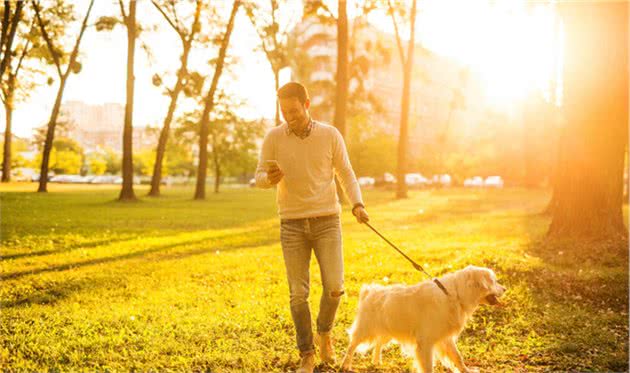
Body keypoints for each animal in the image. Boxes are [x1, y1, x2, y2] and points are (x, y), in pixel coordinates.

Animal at [340, 264, 508, 372]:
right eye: (494, 281)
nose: (505, 289)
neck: (455, 294)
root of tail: (370, 291)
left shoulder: (445, 338)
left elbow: (457, 357)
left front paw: (466, 370)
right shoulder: (426, 342)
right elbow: (428, 365)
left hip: (388, 329)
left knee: (378, 343)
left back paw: (377, 362)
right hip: (365, 329)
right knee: (352, 346)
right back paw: (345, 365)